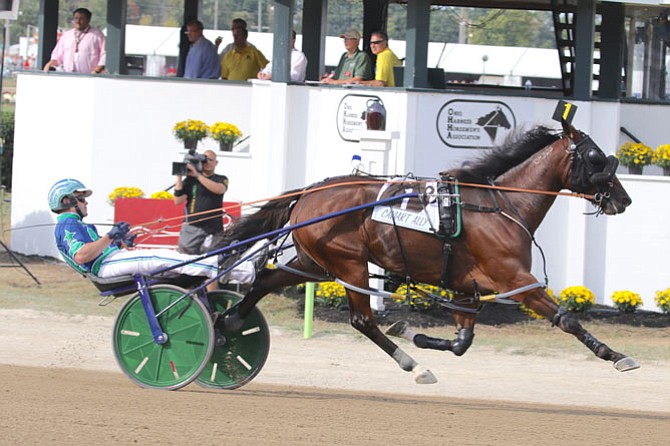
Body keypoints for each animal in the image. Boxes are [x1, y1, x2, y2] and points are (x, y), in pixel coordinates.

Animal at [218, 122, 636, 384]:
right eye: (596, 158)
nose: (624, 198)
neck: (499, 205)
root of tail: (309, 192)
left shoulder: (466, 288)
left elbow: (462, 342)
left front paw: (413, 332)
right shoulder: (515, 279)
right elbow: (566, 319)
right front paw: (615, 356)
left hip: (314, 264)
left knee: (265, 280)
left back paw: (229, 322)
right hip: (348, 264)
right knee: (363, 321)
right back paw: (414, 365)